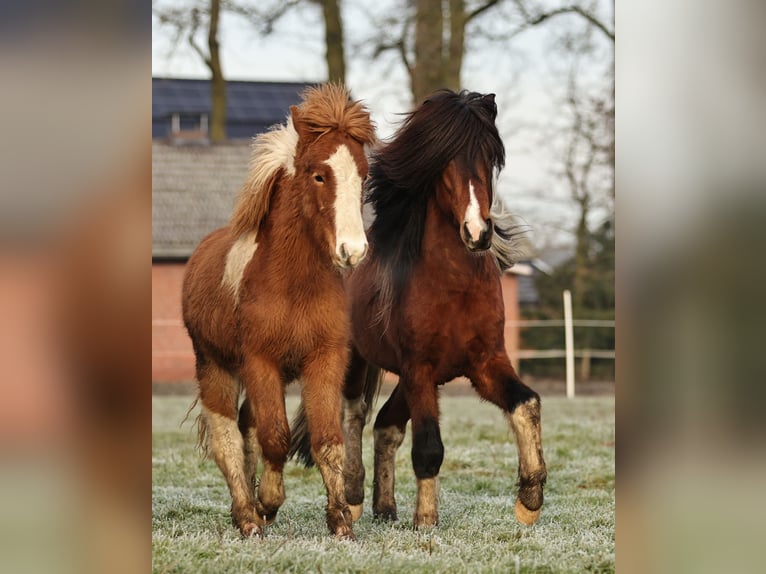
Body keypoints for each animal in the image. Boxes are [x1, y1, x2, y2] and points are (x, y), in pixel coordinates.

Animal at [184, 84, 380, 540]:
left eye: (363, 175)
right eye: (318, 175)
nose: (353, 251)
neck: (293, 285)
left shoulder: (324, 360)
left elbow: (326, 440)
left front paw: (341, 521)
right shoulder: (260, 362)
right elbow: (275, 437)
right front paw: (268, 504)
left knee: (246, 427)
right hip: (215, 366)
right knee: (227, 434)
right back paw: (247, 516)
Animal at [292, 89, 548, 532]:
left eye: (490, 156)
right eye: (443, 160)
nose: (478, 233)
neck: (454, 287)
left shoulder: (483, 364)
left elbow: (526, 403)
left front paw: (529, 499)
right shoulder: (420, 368)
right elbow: (429, 447)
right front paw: (426, 520)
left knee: (387, 425)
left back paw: (385, 506)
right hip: (361, 361)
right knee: (356, 414)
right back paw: (355, 498)